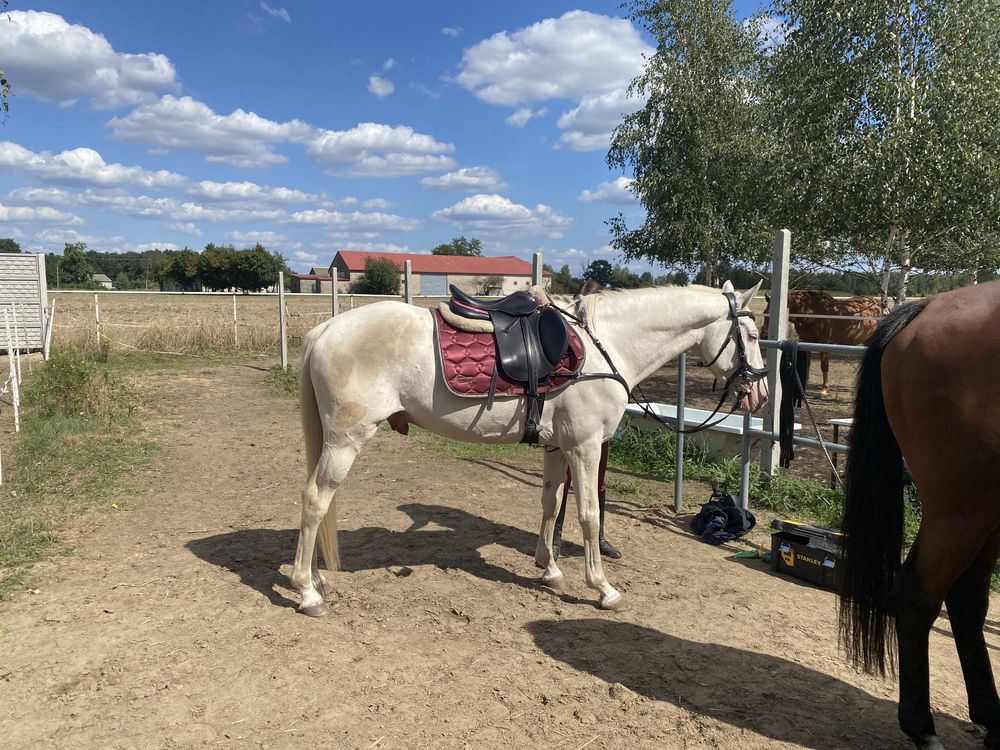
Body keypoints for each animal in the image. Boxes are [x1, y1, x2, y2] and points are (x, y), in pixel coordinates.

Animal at [292, 280, 768, 616]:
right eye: (750, 333)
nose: (760, 394)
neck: (606, 345)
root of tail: (327, 328)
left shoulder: (557, 447)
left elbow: (550, 504)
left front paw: (551, 569)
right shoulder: (585, 447)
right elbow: (589, 515)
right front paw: (603, 588)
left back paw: (316, 579)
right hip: (345, 440)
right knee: (315, 500)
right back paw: (307, 592)